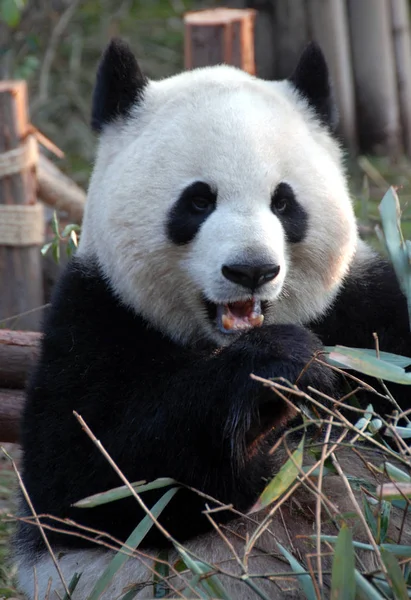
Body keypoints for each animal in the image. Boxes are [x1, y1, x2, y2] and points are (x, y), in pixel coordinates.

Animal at [12, 39, 411, 596]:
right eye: (199, 200)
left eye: (284, 203)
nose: (252, 270)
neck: (219, 341)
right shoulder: (93, 318)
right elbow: (94, 480)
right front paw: (282, 367)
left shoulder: (365, 313)